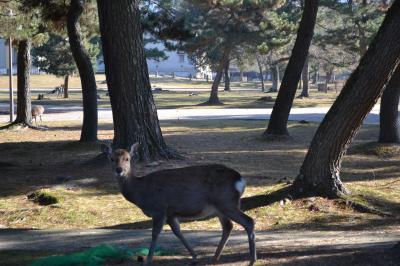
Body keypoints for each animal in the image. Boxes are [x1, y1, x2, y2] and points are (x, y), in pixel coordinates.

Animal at [101, 144, 256, 264]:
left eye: (127, 159)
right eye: (112, 158)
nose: (119, 170)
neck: (140, 192)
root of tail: (240, 180)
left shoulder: (159, 209)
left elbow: (155, 234)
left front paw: (148, 260)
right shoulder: (171, 213)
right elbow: (177, 232)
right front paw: (194, 256)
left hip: (226, 202)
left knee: (249, 221)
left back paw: (251, 259)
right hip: (221, 207)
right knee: (228, 226)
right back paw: (215, 257)